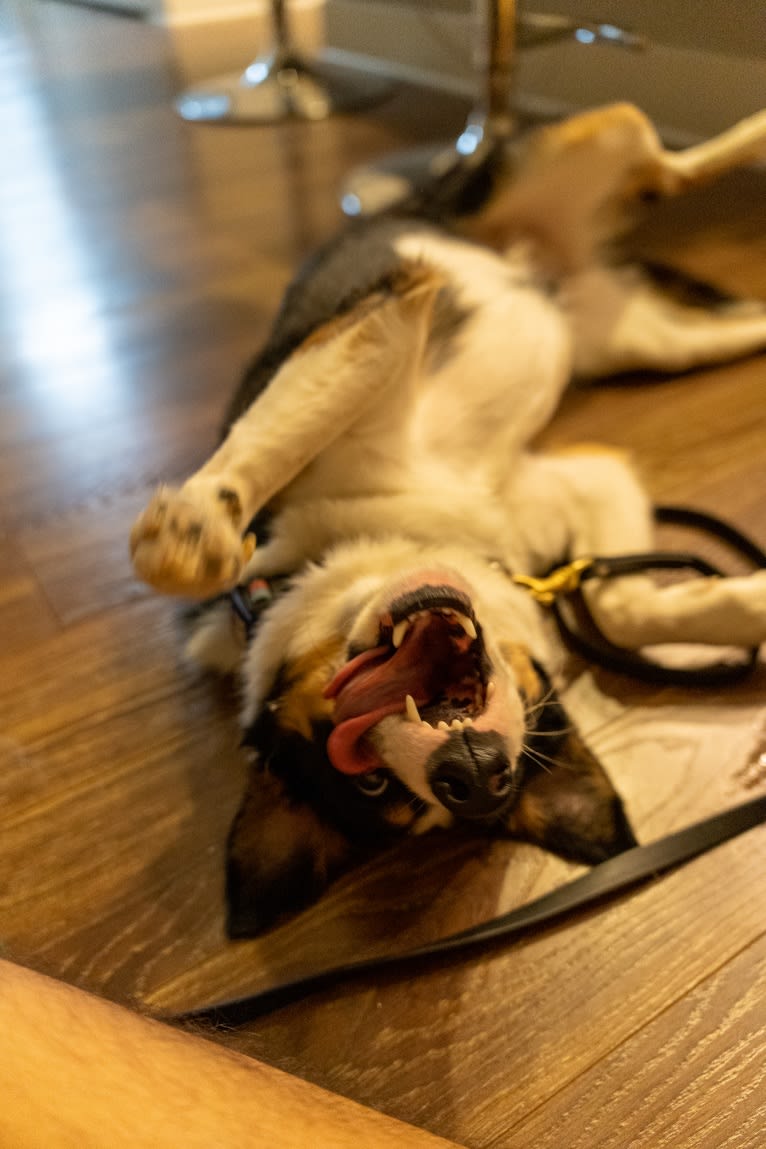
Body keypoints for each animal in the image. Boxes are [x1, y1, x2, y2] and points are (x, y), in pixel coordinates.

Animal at [130, 103, 766, 937]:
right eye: (375, 789)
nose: (471, 771)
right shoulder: (589, 475)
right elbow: (619, 603)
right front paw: (752, 605)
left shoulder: (388, 315)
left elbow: (272, 434)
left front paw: (193, 529)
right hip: (658, 340)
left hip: (574, 154)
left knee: (667, 163)